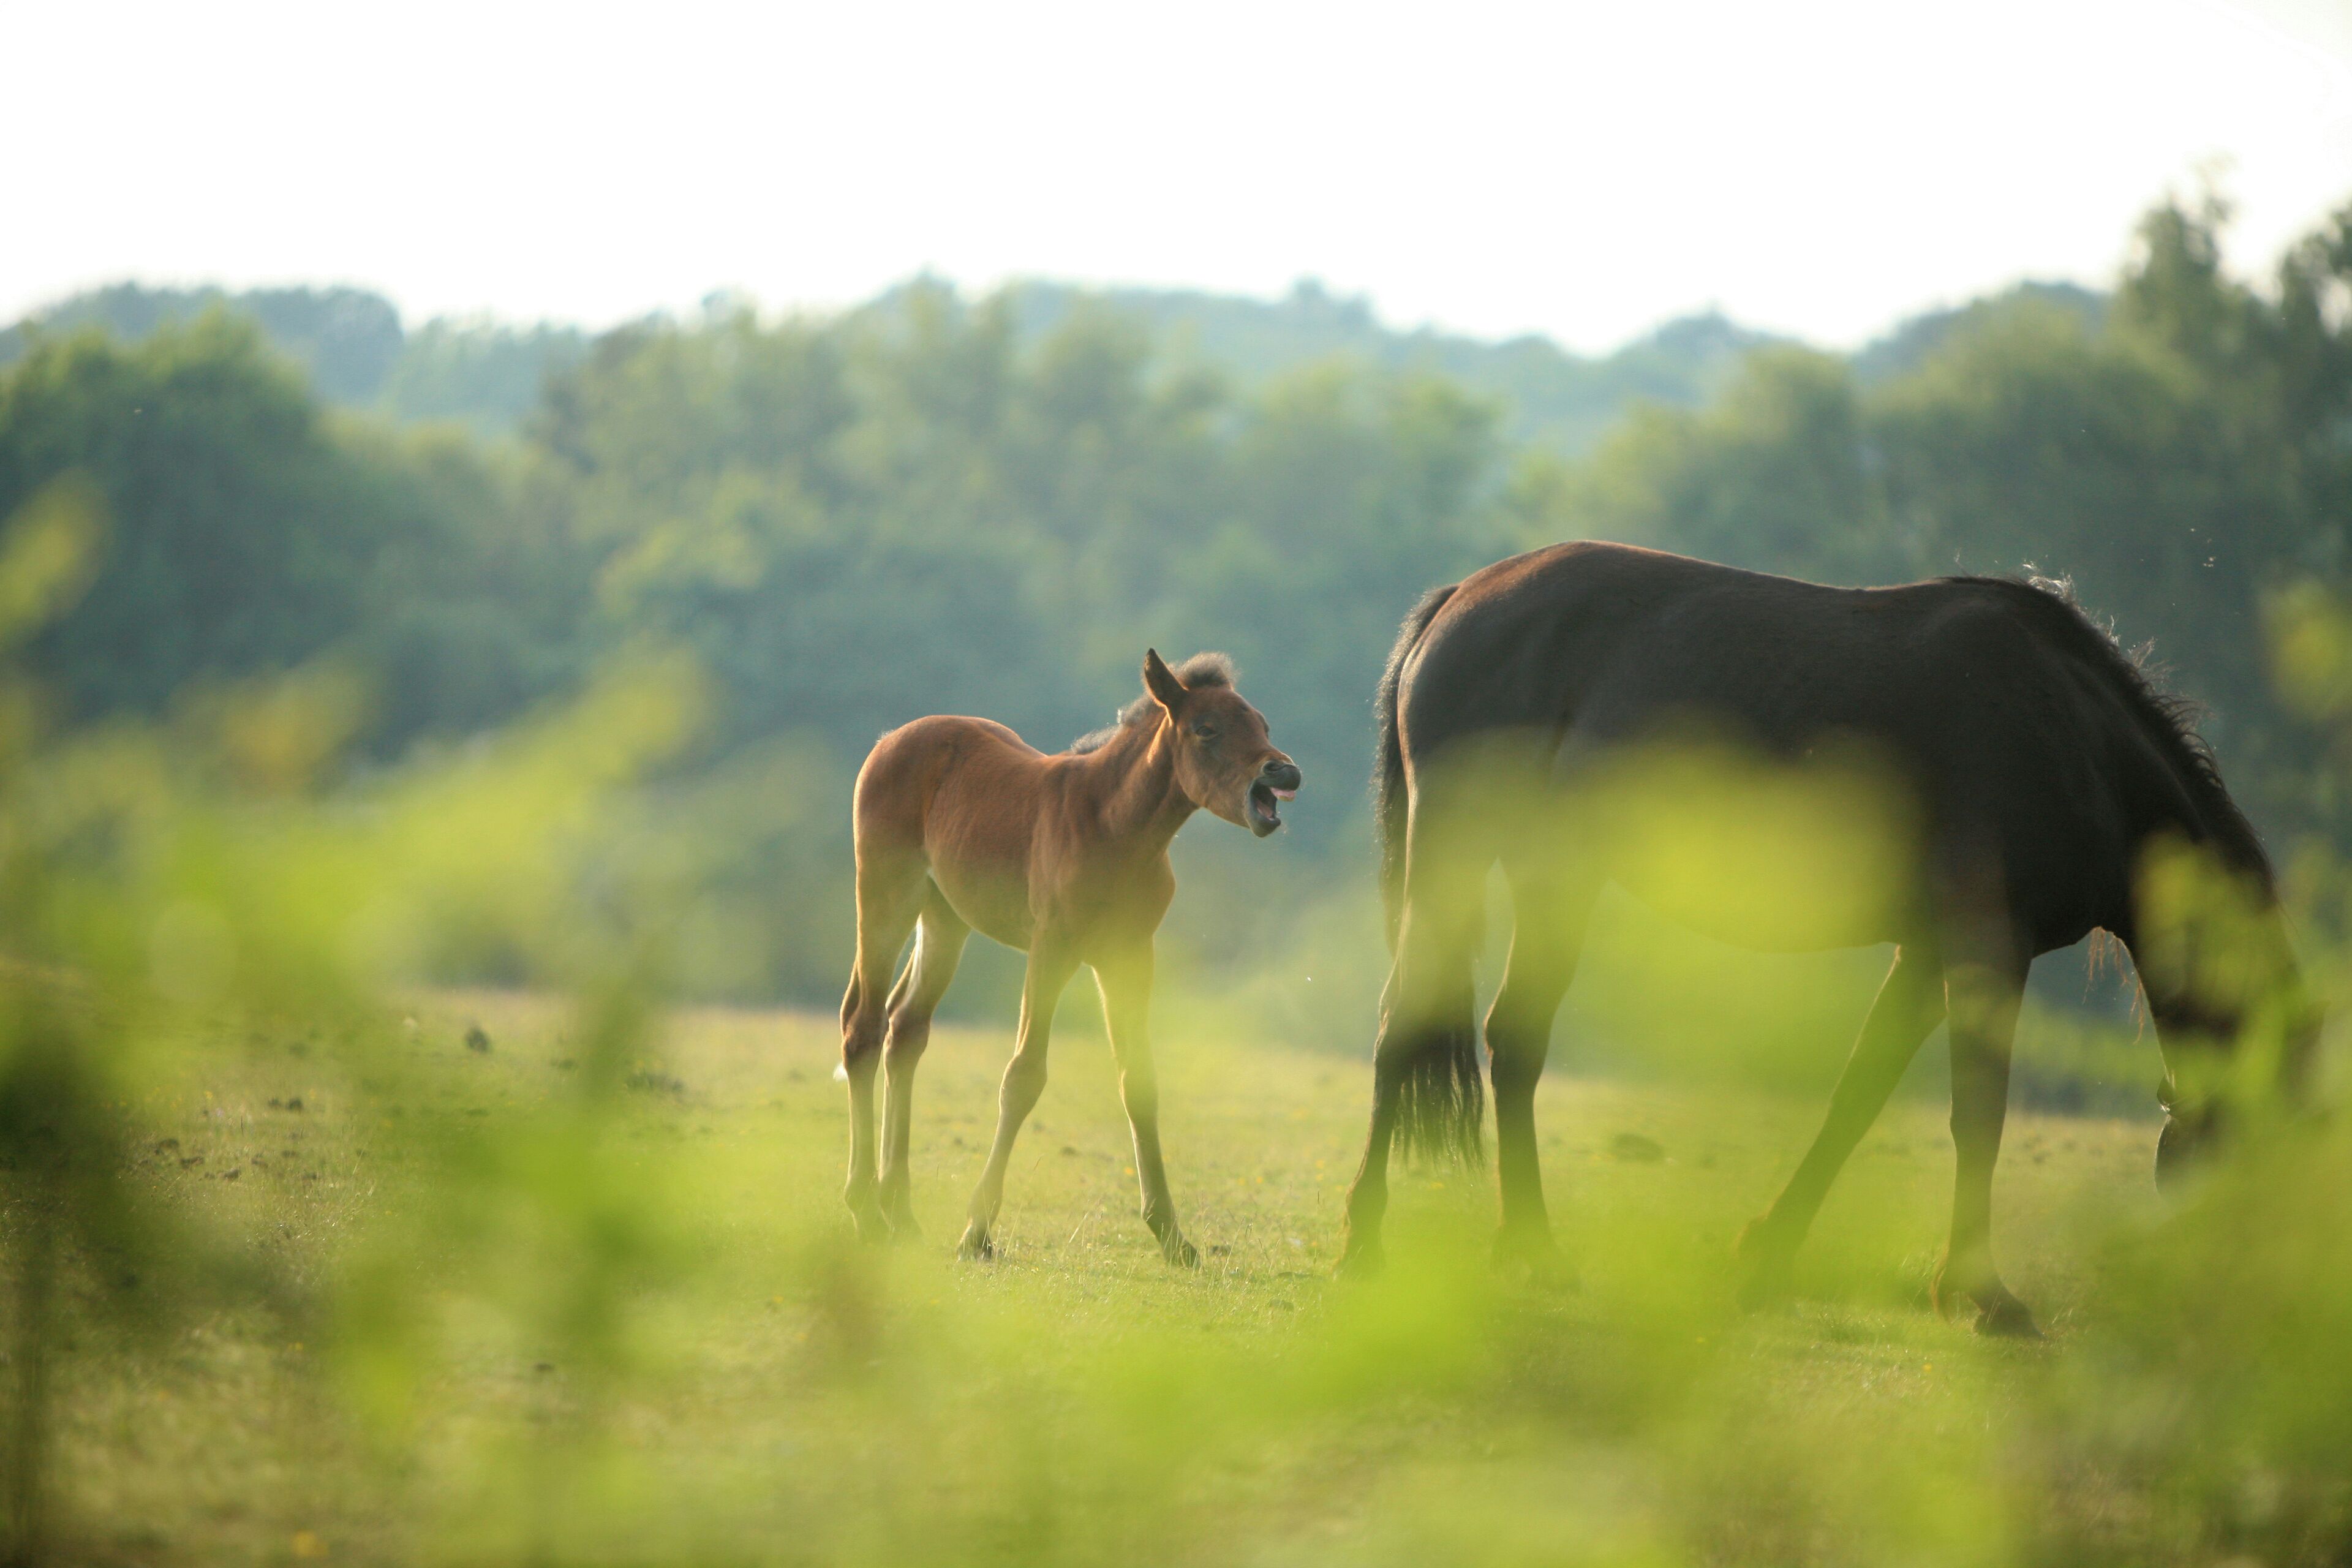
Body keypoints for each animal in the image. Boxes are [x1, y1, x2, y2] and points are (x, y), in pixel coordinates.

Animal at [840, 649, 1302, 1266]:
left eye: (1263, 725)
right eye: (1207, 729)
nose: (1284, 773)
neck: (1116, 826)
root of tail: (891, 740)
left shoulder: (1129, 958)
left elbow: (1140, 1081)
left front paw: (1172, 1235)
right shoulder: (1052, 949)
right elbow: (1023, 1077)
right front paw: (977, 1233)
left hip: (945, 918)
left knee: (905, 1029)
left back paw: (901, 1213)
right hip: (886, 897)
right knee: (863, 1028)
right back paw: (866, 1210)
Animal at [1339, 541, 2317, 1335]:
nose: (2239, 1304)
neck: (2075, 739)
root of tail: (1460, 600)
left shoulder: (1926, 956)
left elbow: (1859, 1097)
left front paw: (1767, 1251)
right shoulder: (1986, 945)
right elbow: (1978, 1113)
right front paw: (1983, 1294)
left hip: (1557, 880)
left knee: (1515, 1042)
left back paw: (1532, 1249)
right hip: (1456, 863)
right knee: (1404, 1028)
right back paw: (1365, 1242)